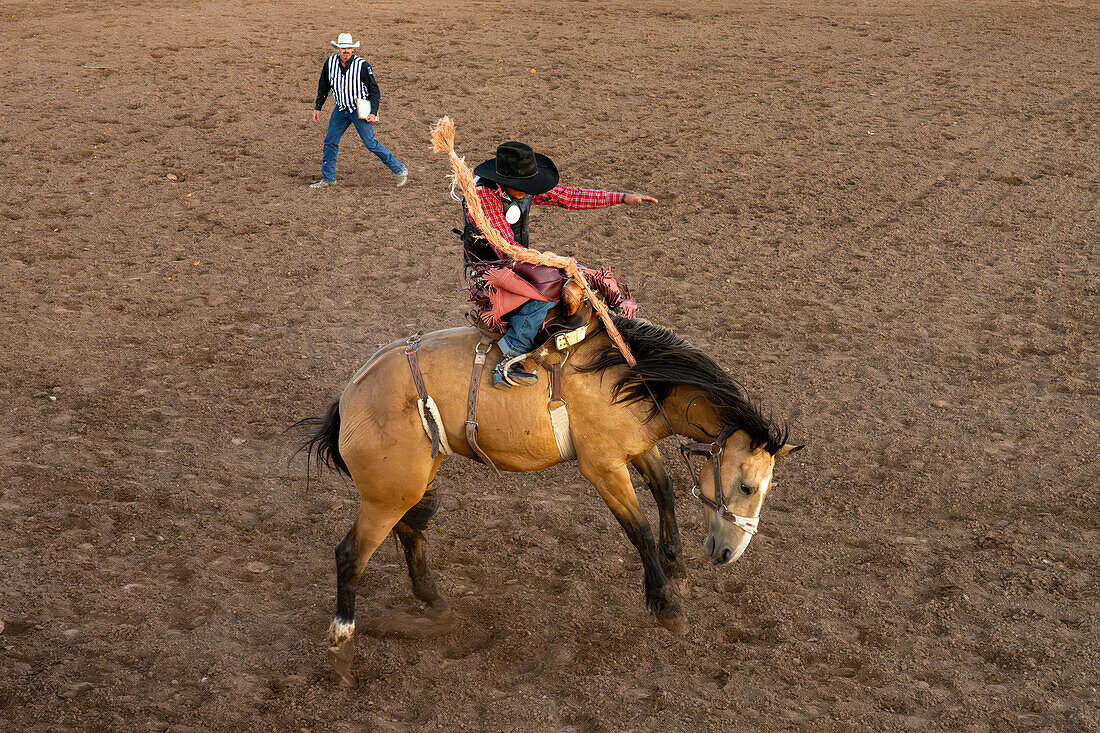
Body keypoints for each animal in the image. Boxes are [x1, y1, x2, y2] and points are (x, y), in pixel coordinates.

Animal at [301, 314, 800, 686]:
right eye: (747, 486)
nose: (731, 553)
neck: (631, 376)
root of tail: (350, 395)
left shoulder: (635, 448)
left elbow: (665, 491)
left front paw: (676, 568)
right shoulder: (602, 465)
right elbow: (637, 528)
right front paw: (668, 608)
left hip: (413, 481)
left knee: (410, 530)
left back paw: (437, 606)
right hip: (386, 495)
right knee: (350, 555)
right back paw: (342, 654)